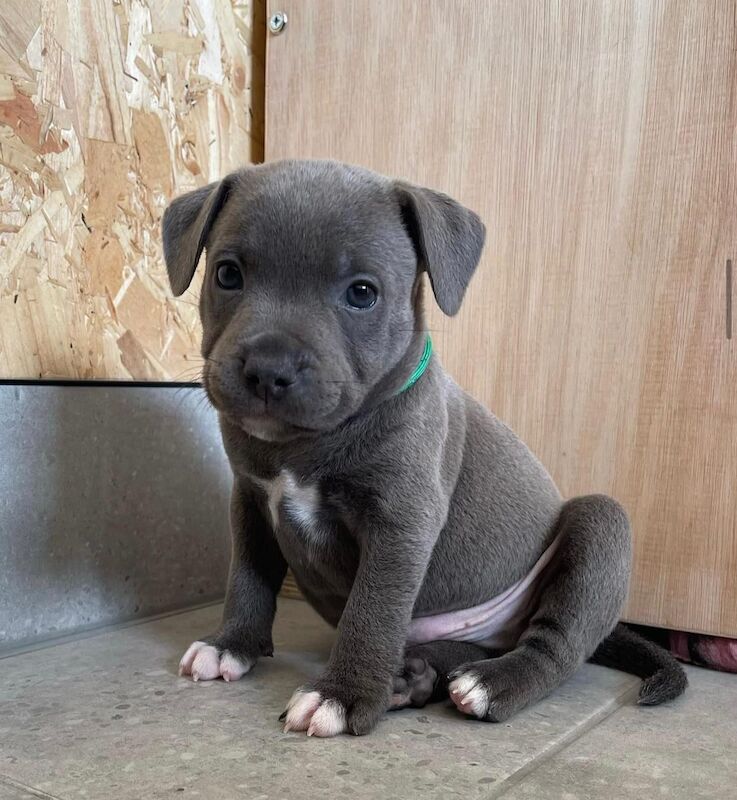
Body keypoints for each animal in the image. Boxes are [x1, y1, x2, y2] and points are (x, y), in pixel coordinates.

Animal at [161, 158, 684, 736]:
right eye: (227, 274)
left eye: (362, 293)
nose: (268, 369)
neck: (304, 447)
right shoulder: (251, 502)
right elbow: (247, 578)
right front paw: (230, 645)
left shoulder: (401, 522)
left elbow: (372, 610)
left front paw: (342, 695)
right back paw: (413, 678)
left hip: (600, 524)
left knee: (556, 646)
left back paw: (488, 684)